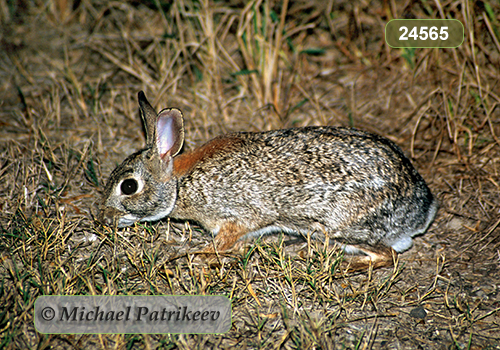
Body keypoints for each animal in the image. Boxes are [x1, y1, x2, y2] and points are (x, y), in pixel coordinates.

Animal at [98, 91, 438, 270]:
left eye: (128, 186)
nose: (103, 218)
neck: (181, 183)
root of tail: (423, 210)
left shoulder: (234, 218)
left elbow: (222, 245)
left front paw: (193, 254)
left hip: (341, 226)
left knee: (387, 255)